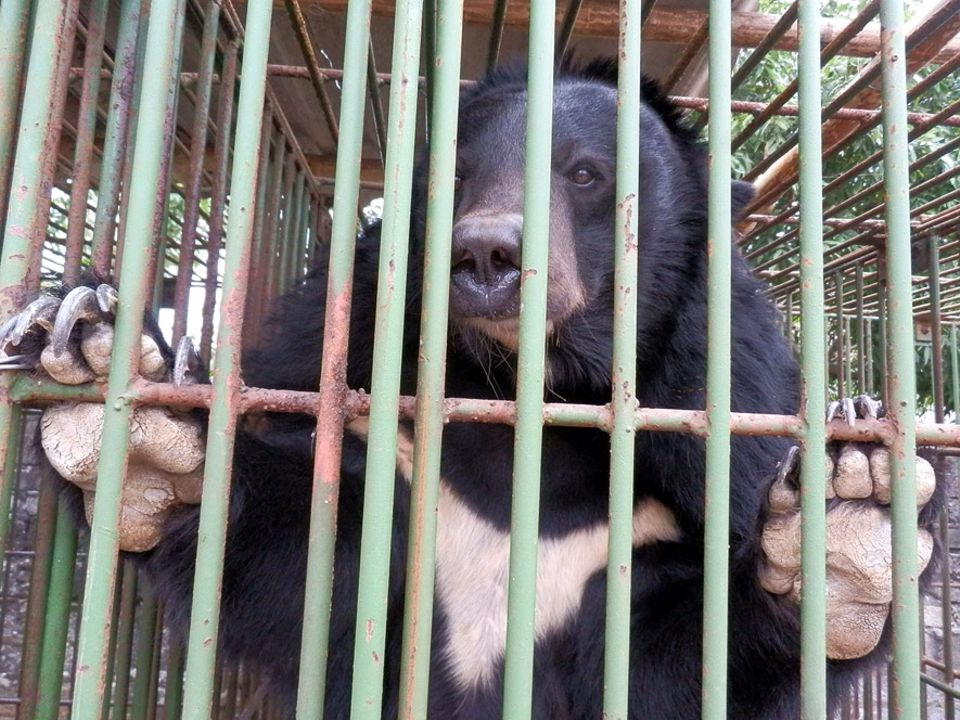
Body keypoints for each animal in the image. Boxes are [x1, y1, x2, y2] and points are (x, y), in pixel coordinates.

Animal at [0, 59, 940, 716]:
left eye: (586, 174)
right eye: (455, 174)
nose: (486, 255)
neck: (538, 386)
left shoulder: (720, 389)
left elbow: (683, 658)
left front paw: (844, 527)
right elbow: (295, 567)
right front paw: (135, 413)